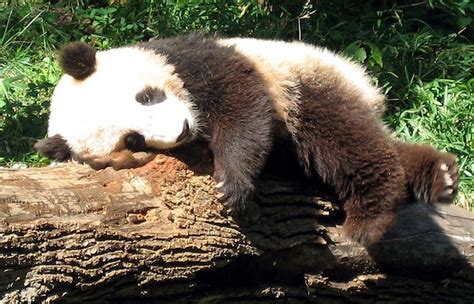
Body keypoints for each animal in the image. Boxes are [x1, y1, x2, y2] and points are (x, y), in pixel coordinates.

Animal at [35, 33, 458, 246]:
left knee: (343, 138)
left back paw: (370, 217)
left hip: (303, 81)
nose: (181, 129)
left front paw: (231, 184)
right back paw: (440, 176)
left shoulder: (194, 60)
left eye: (146, 96)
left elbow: (242, 104)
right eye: (134, 140)